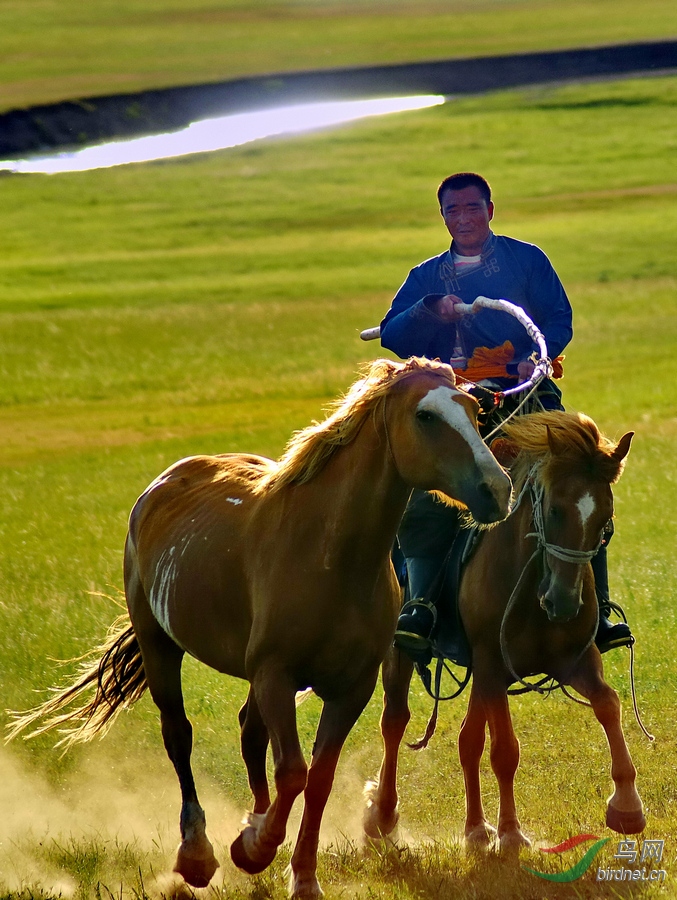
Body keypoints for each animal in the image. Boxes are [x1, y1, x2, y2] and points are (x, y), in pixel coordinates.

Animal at [9, 357, 512, 899]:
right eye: (426, 416)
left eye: (473, 409)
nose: (497, 489)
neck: (329, 555)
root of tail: (165, 482)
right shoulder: (275, 674)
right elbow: (291, 771)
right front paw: (255, 847)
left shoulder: (350, 688)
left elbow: (318, 778)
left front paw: (300, 871)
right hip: (159, 643)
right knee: (179, 736)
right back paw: (197, 853)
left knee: (250, 732)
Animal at [363, 410, 645, 853]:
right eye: (554, 509)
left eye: (605, 521)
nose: (563, 602)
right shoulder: (493, 665)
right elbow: (504, 751)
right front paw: (511, 833)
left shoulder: (575, 660)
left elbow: (608, 704)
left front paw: (627, 806)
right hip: (405, 654)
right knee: (394, 722)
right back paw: (383, 816)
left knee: (467, 740)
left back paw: (476, 829)